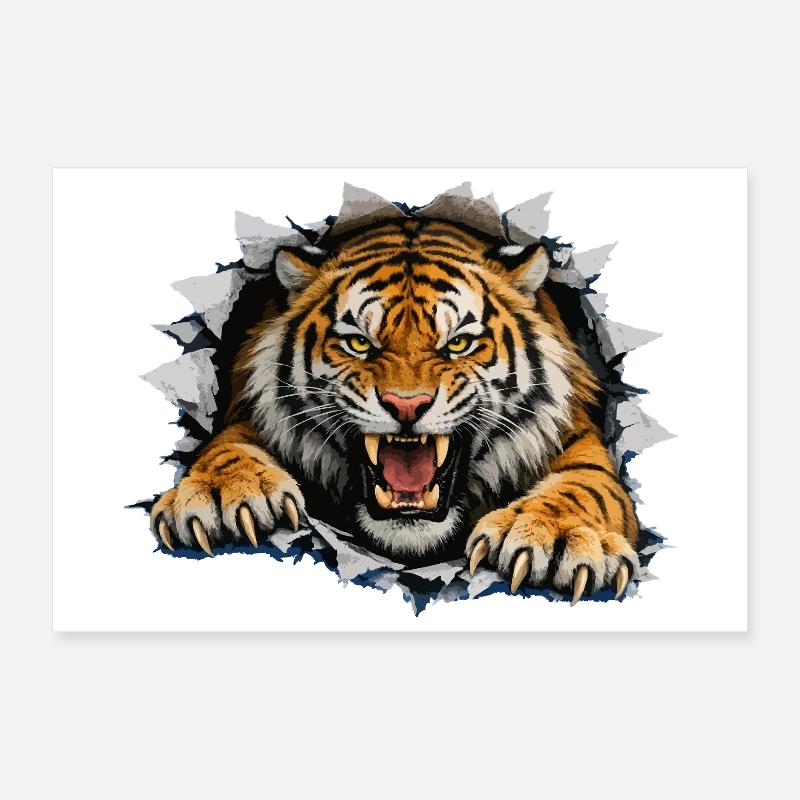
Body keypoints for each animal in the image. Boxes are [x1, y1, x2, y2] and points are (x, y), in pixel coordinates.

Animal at [149, 217, 641, 604]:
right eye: (359, 343)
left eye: (457, 344)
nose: (407, 405)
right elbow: (227, 444)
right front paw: (220, 495)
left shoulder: (577, 435)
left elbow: (587, 484)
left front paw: (555, 537)